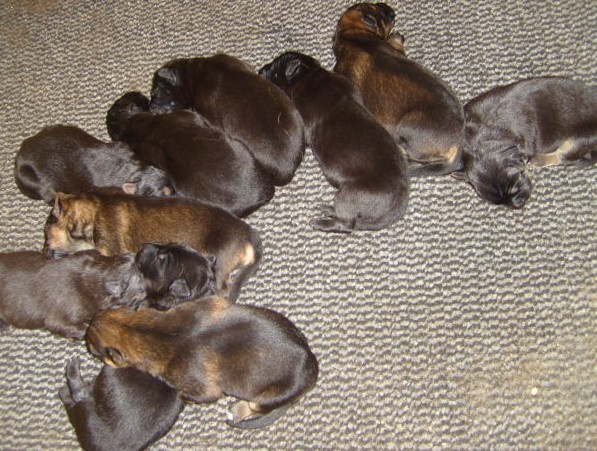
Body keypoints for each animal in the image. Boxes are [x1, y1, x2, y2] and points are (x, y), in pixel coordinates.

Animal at [85, 296, 319, 429]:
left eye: (91, 346)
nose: (87, 327)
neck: (137, 329)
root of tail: (312, 364)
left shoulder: (205, 390)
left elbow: (187, 394)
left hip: (270, 396)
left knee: (255, 406)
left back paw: (238, 410)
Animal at [106, 91, 275, 217]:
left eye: (120, 100)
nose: (138, 93)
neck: (128, 125)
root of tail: (262, 195)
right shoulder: (188, 115)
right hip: (240, 147)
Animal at [260, 52, 409, 233]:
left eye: (274, 71)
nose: (260, 70)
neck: (309, 74)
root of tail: (402, 192)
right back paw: (328, 209)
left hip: (349, 196)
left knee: (346, 223)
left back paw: (321, 222)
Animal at [452, 76, 597, 208]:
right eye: (500, 203)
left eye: (516, 187)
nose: (518, 205)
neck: (478, 142)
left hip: (576, 140)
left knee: (562, 156)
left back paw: (538, 160)